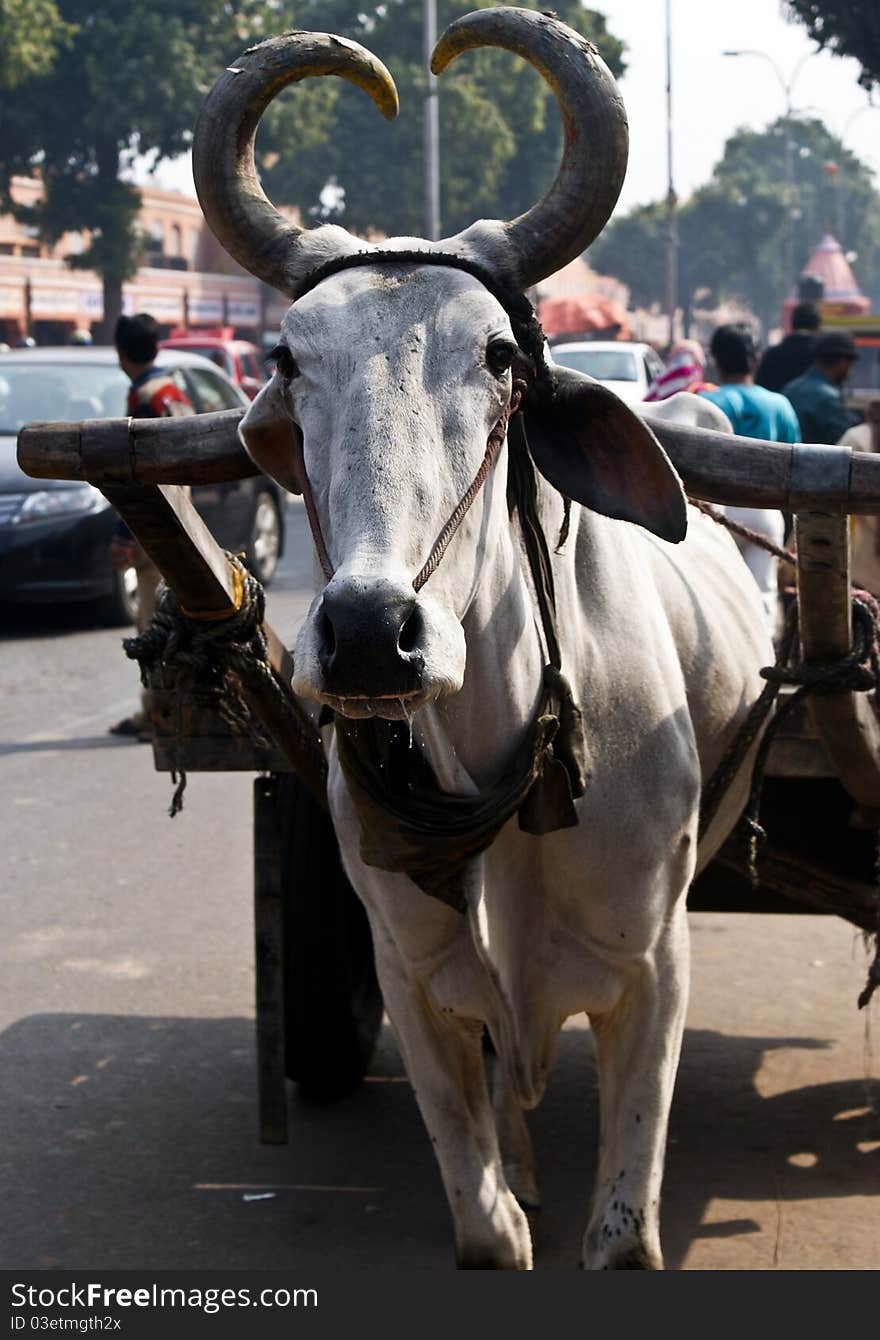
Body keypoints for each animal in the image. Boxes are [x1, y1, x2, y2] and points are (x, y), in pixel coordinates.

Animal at [192, 7, 771, 1264]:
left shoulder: (654, 969)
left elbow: (622, 1233)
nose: (371, 636)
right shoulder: (413, 979)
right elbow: (484, 1225)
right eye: (286, 357)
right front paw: (510, 1203)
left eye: (499, 353)